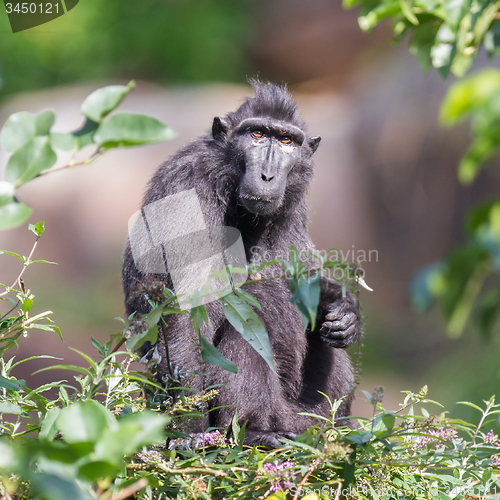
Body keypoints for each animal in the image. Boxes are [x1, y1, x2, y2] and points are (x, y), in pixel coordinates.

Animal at [123, 80, 362, 448]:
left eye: (287, 141)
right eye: (258, 135)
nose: (268, 174)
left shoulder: (296, 207)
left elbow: (307, 274)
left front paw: (346, 310)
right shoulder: (187, 184)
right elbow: (182, 311)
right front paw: (186, 429)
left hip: (308, 417)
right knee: (245, 334)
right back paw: (255, 430)